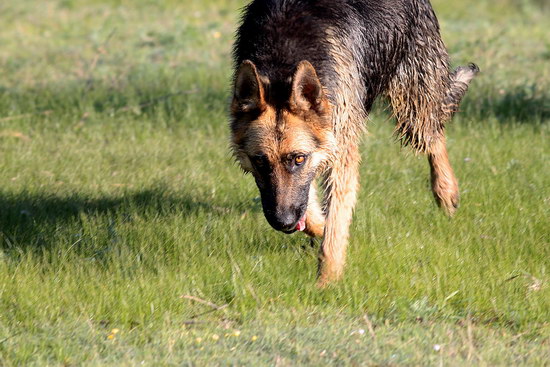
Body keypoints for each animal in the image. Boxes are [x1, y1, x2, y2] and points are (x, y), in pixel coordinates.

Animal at [229, 0, 478, 288]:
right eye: (259, 161)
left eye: (298, 159)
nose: (284, 223)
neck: (282, 65)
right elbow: (313, 210)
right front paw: (320, 228)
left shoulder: (340, 152)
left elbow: (335, 225)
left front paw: (327, 282)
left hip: (412, 103)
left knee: (434, 133)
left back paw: (446, 190)